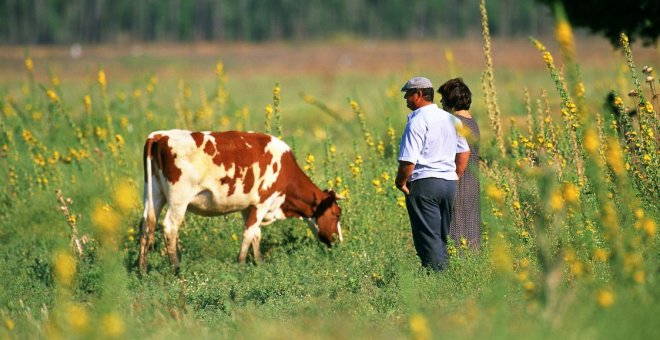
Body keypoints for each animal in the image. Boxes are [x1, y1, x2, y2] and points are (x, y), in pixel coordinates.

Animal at [139, 130, 346, 274]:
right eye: (337, 213)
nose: (339, 241)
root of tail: (159, 135)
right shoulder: (263, 202)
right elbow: (248, 234)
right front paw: (241, 265)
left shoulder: (249, 207)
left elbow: (256, 235)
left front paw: (259, 263)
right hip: (178, 200)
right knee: (169, 227)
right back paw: (176, 269)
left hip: (154, 194)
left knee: (145, 226)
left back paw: (142, 270)